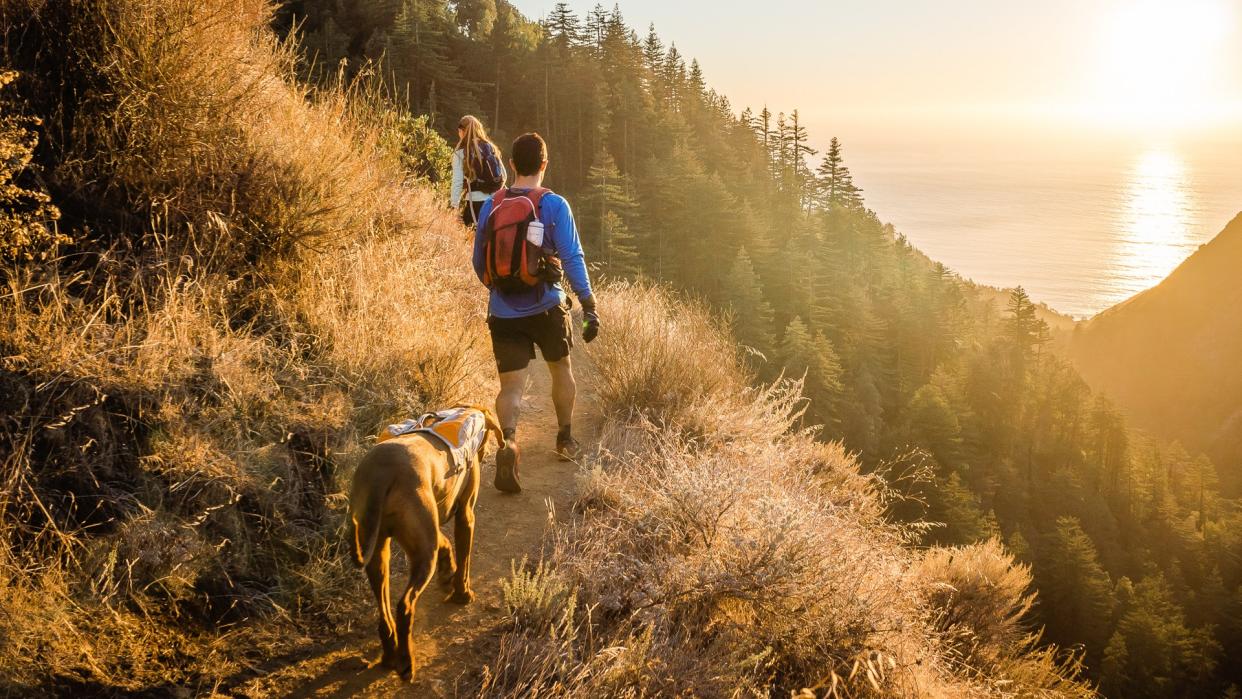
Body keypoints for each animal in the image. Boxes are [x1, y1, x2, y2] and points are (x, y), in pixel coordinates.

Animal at [347, 407, 501, 680]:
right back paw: (405, 662)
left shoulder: (430, 524)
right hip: (423, 555)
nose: (482, 455)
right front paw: (462, 593)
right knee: (404, 606)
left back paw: (389, 654)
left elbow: (445, 542)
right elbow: (464, 559)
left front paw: (447, 571)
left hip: (380, 549)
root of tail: (381, 472)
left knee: (384, 612)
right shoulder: (466, 515)